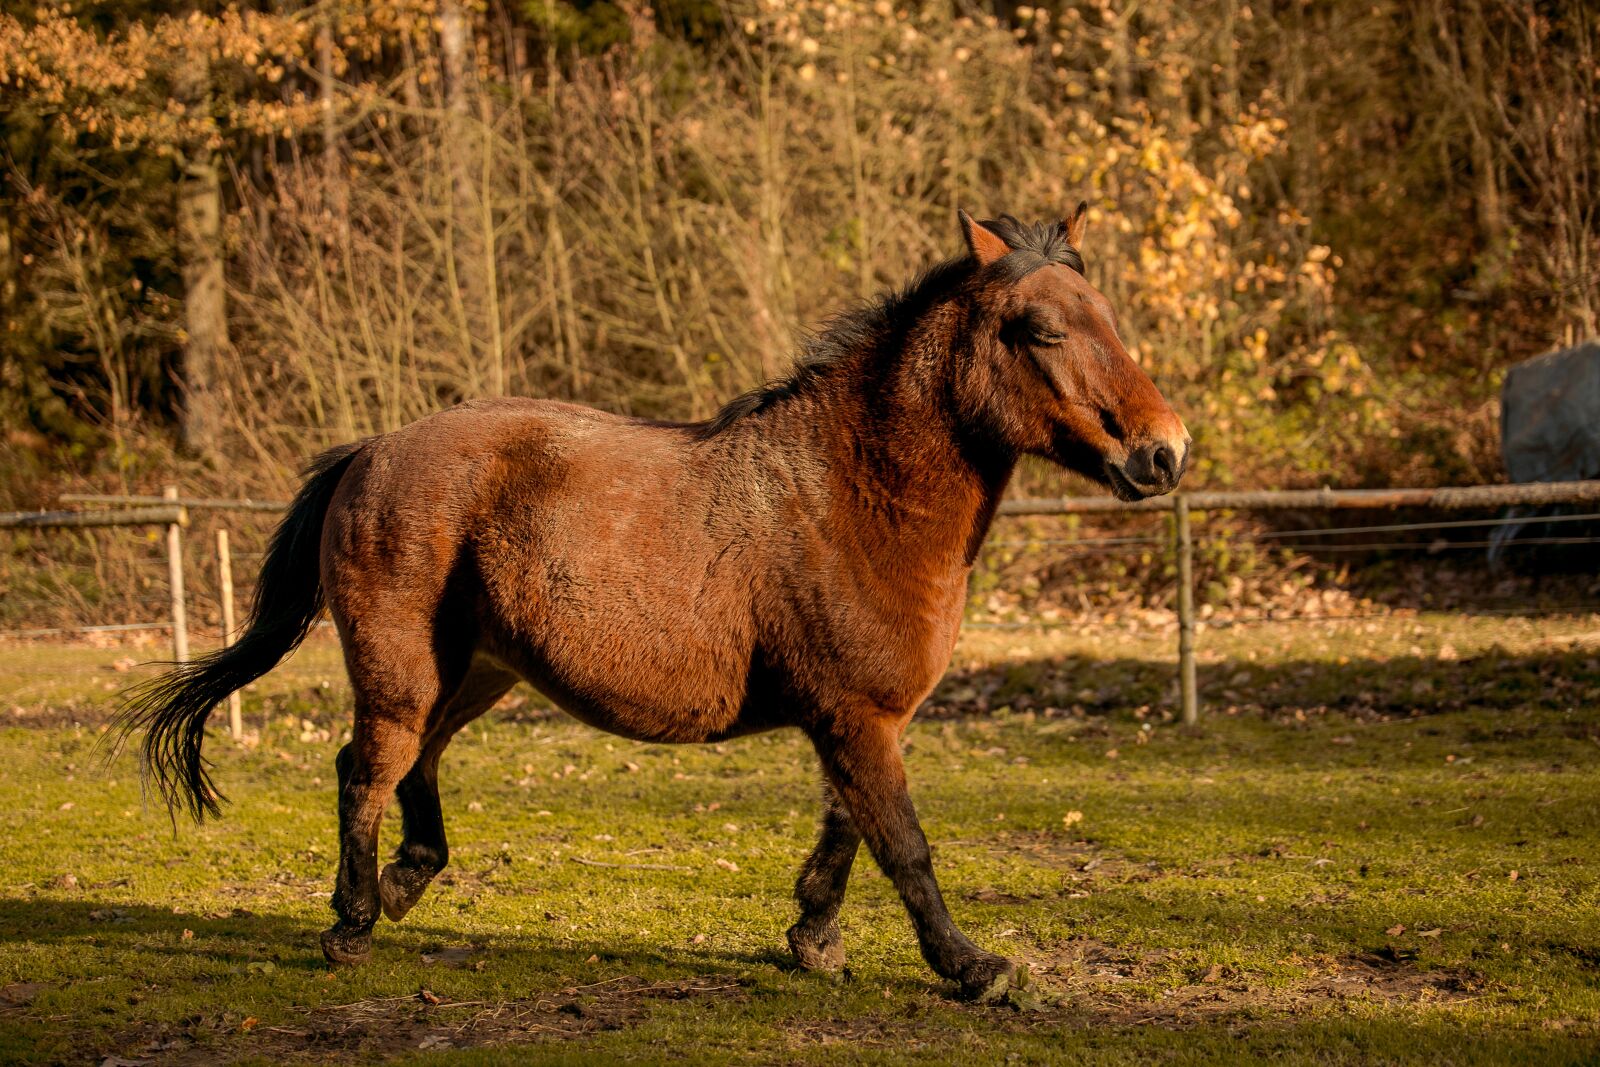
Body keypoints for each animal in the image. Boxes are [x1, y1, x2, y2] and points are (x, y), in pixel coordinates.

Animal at [119, 205, 1189, 1003]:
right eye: (1045, 329)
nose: (1165, 451)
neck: (848, 492)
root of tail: (371, 449)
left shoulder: (857, 719)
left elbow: (848, 828)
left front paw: (813, 937)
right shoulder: (857, 716)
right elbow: (904, 845)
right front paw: (970, 968)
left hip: (476, 671)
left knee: (415, 764)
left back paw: (401, 883)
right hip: (401, 668)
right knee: (365, 769)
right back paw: (351, 923)